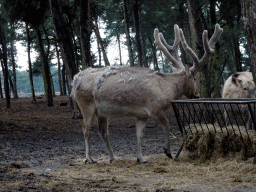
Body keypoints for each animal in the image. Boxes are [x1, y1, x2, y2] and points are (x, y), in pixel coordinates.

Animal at [71, 22, 223, 164]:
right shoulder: (154, 109)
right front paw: (167, 151)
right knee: (86, 130)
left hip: (102, 112)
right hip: (86, 105)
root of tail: (75, 81)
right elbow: (167, 124)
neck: (166, 90)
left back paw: (112, 157)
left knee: (103, 132)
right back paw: (89, 158)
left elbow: (140, 135)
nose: (197, 95)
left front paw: (141, 158)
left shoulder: (142, 115)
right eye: (195, 78)